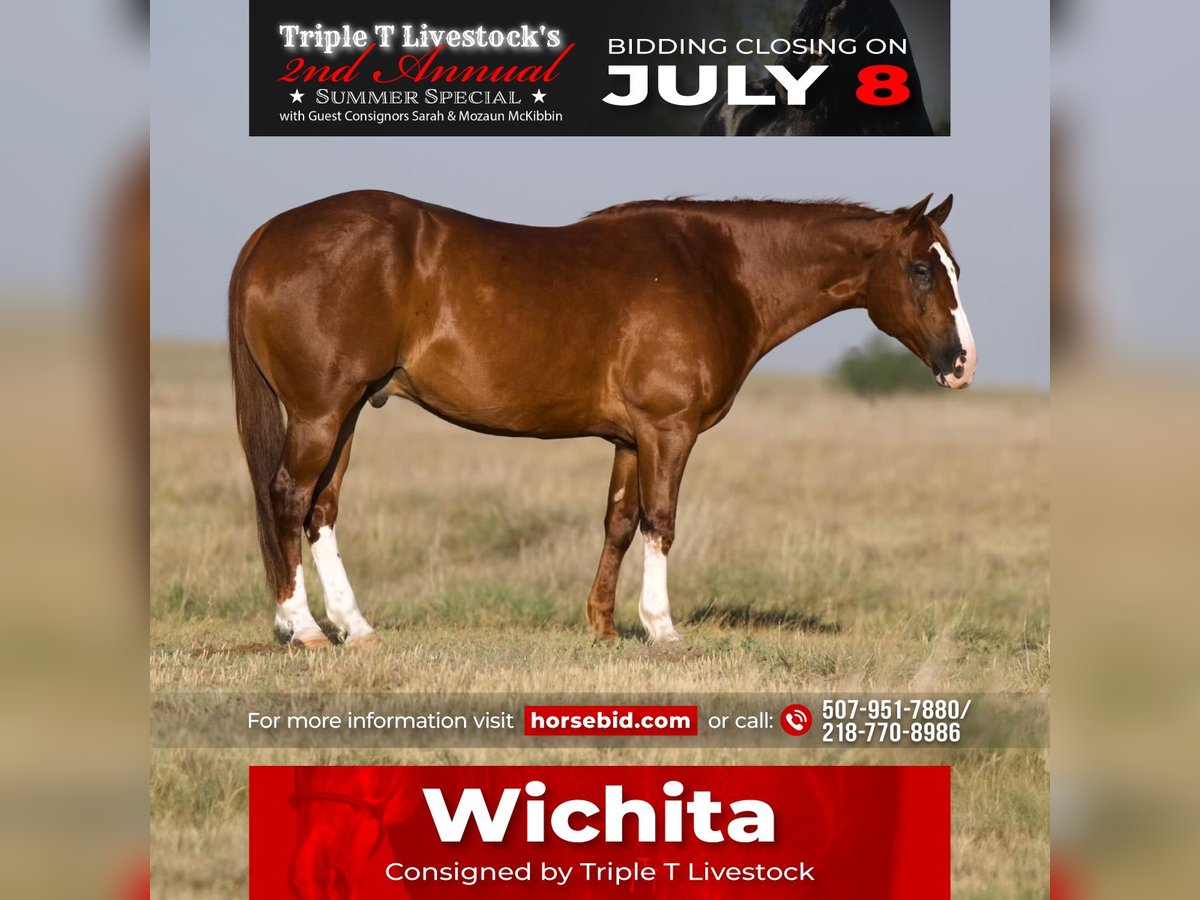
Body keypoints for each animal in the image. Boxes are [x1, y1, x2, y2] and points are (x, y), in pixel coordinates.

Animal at [226, 194, 974, 652]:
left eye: (954, 268)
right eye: (920, 270)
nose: (961, 363)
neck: (718, 272)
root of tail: (269, 235)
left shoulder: (628, 439)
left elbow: (619, 522)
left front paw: (605, 627)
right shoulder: (669, 430)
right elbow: (662, 522)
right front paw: (663, 630)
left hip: (348, 413)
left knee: (321, 510)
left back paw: (356, 628)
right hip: (322, 413)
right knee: (288, 499)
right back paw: (304, 628)